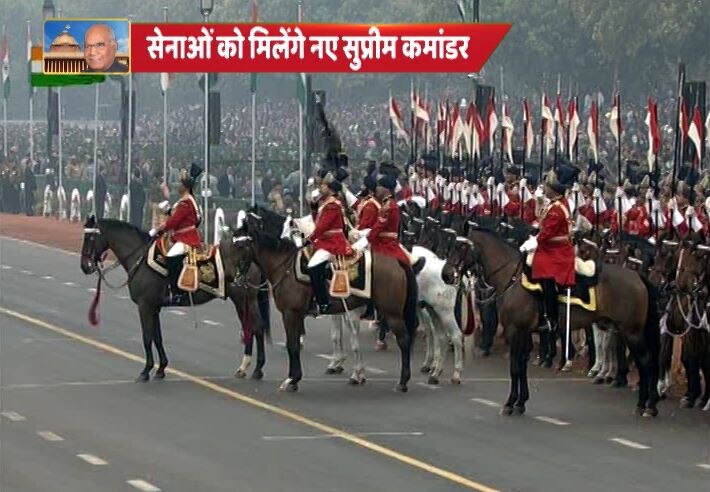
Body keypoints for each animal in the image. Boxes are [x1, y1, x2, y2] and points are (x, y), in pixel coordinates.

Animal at [80, 217, 270, 382]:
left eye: (90, 237)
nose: (85, 266)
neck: (140, 258)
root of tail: (252, 257)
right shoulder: (154, 307)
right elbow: (157, 337)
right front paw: (161, 368)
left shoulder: (145, 306)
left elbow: (147, 336)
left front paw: (146, 370)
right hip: (241, 301)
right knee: (249, 328)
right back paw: (245, 368)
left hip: (244, 299)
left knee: (256, 327)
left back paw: (257, 369)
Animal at [231, 208, 420, 392]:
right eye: (233, 243)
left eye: (240, 245)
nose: (235, 278)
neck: (284, 266)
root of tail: (398, 261)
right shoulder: (300, 314)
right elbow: (301, 343)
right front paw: (297, 377)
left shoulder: (290, 313)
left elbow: (293, 346)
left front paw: (292, 379)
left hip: (392, 312)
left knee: (404, 340)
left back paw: (402, 381)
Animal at [442, 227, 664, 416]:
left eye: (461, 247)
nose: (446, 274)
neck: (512, 277)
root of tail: (638, 276)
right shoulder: (524, 332)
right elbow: (521, 366)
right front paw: (521, 402)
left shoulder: (515, 330)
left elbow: (515, 368)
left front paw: (510, 403)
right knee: (646, 362)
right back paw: (647, 404)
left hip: (631, 332)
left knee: (646, 362)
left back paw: (646, 405)